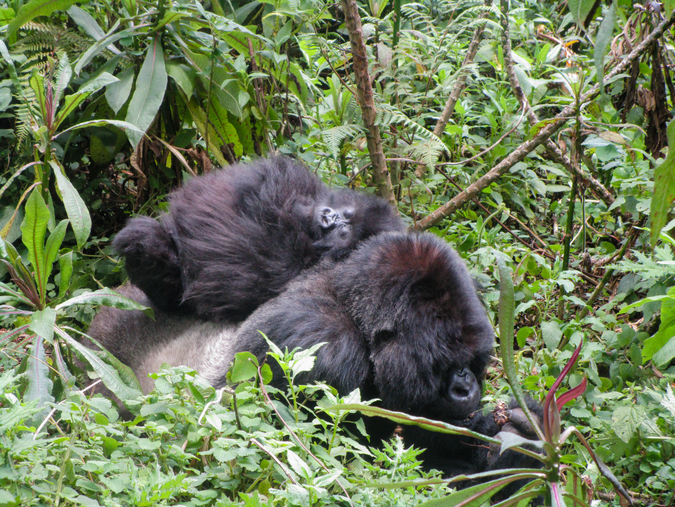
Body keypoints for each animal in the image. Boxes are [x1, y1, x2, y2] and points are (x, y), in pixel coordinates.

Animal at [91, 232, 544, 478]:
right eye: (445, 360)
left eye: (472, 358)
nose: (466, 388)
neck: (355, 319)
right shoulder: (321, 347)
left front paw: (522, 422)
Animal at [113, 157, 404, 322]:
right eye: (345, 215)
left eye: (344, 233)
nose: (328, 219)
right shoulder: (310, 187)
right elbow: (273, 178)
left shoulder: (290, 267)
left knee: (144, 242)